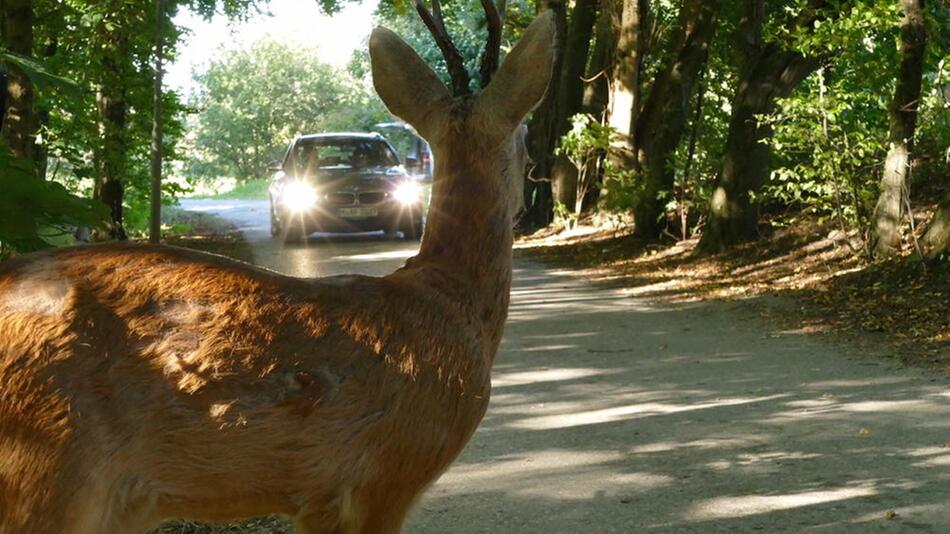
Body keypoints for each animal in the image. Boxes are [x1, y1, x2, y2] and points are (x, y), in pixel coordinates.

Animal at [0, 4, 556, 534]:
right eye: (527, 130)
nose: (533, 188)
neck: (449, 303)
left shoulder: (319, 504)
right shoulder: (385, 477)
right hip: (50, 468)